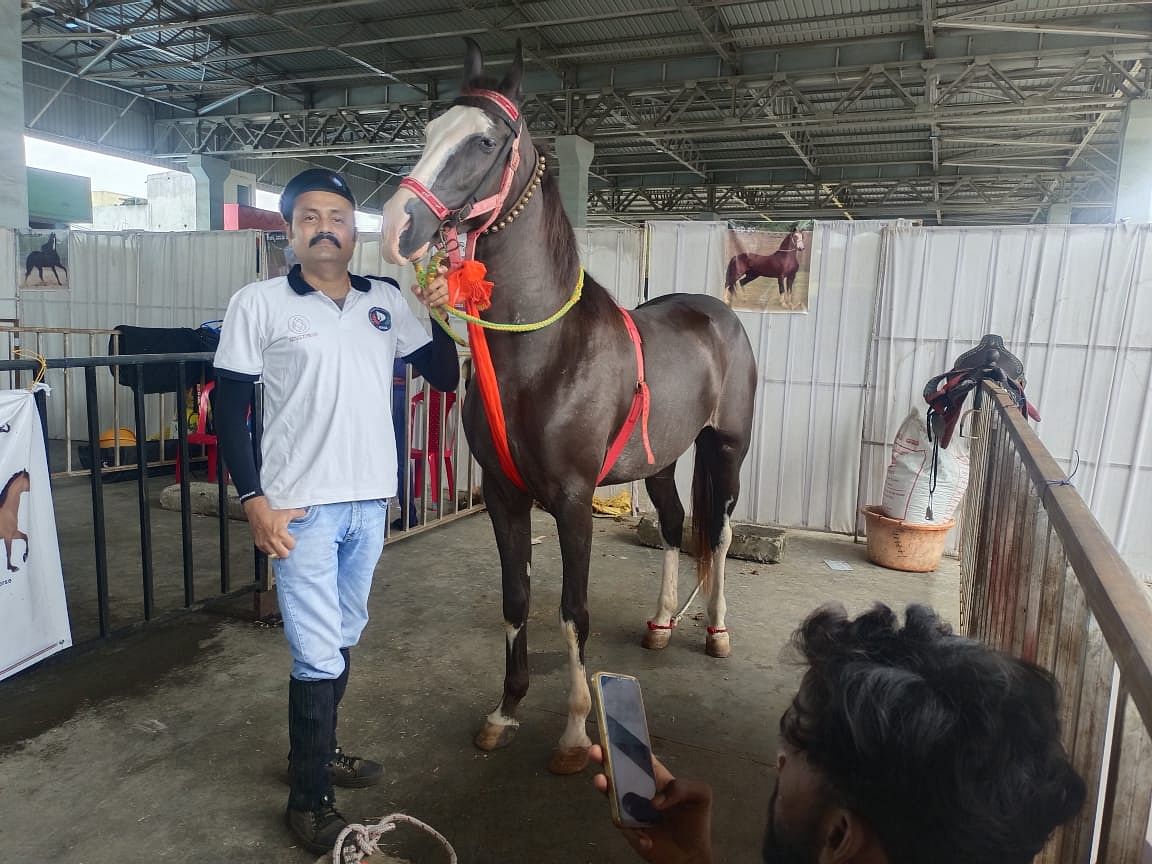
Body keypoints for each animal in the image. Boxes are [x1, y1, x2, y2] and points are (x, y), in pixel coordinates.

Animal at [375, 38, 755, 778]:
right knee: (675, 527)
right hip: (662, 461)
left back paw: (718, 630)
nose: (397, 226)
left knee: (719, 535)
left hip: (726, 448)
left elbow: (573, 610)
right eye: (427, 131)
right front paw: (504, 712)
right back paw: (661, 624)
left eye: (484, 139)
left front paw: (578, 732)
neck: (545, 351)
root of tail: (717, 313)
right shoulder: (504, 495)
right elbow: (517, 598)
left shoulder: (575, 500)